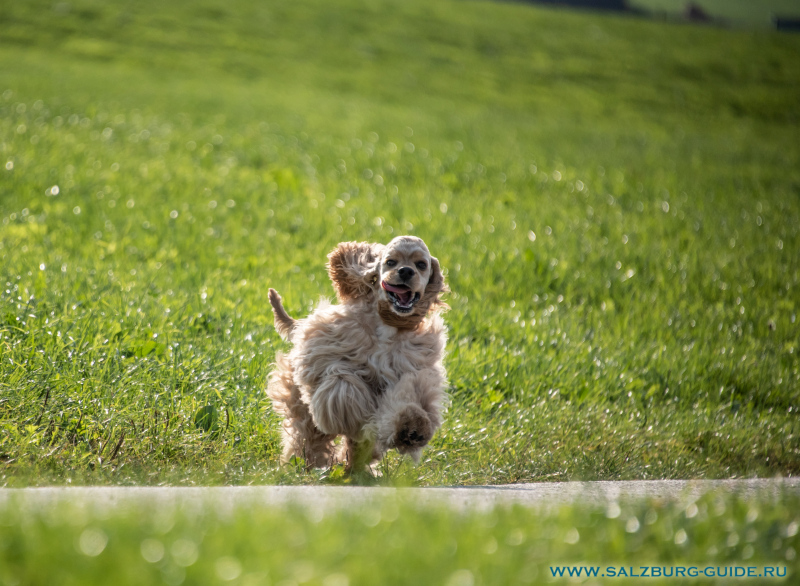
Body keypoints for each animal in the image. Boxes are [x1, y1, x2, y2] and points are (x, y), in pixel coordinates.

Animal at [266, 235, 446, 468]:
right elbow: (343, 385)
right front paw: (352, 415)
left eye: (421, 265)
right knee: (307, 433)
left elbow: (409, 400)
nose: (406, 271)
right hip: (298, 399)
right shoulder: (333, 355)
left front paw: (412, 428)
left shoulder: (413, 371)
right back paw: (310, 462)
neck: (387, 328)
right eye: (390, 262)